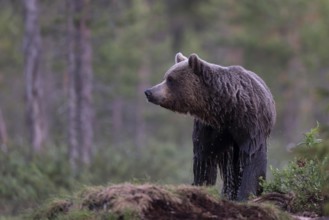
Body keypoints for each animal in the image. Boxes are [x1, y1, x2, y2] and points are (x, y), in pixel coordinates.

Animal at [144, 52, 274, 200]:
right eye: (165, 77)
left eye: (170, 79)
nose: (149, 92)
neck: (227, 109)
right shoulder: (209, 128)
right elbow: (204, 158)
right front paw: (201, 186)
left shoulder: (250, 125)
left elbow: (253, 159)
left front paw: (246, 194)